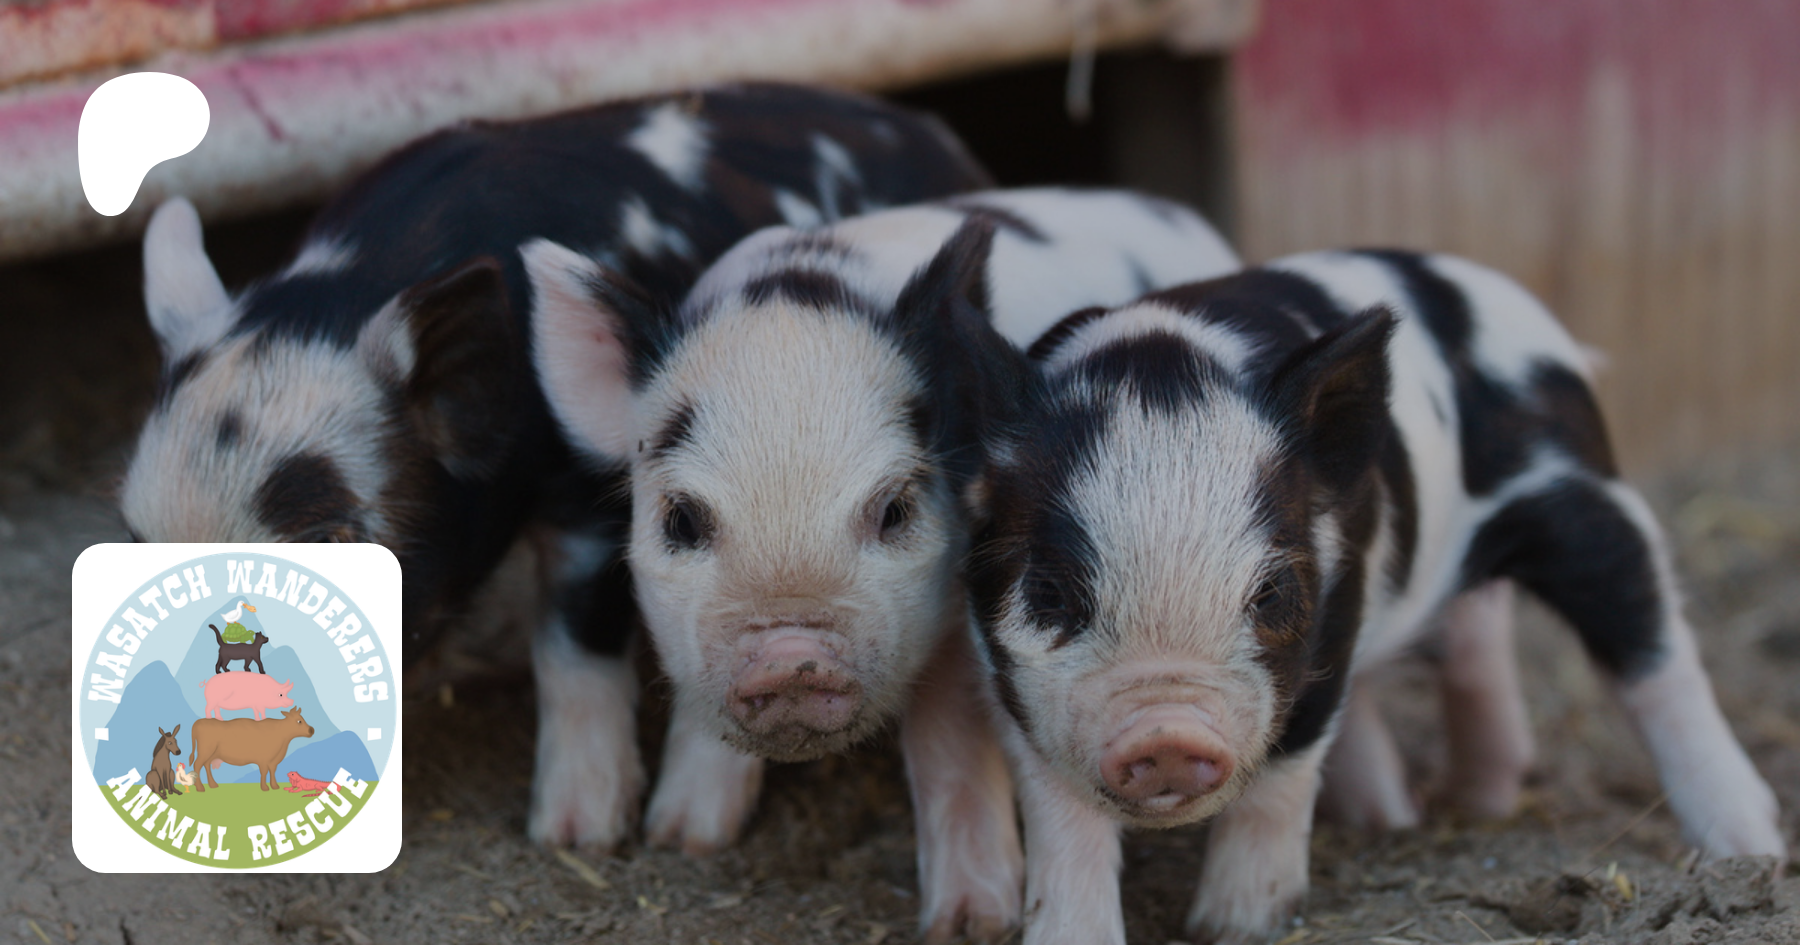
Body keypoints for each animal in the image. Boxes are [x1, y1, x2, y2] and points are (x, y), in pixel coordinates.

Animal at [115, 83, 992, 847]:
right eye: (134, 539)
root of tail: (936, 135)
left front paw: (581, 833)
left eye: (328, 538)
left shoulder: (588, 494)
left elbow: (575, 641)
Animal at [525, 187, 1240, 941]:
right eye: (682, 520)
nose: (791, 659)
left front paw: (969, 924)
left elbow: (948, 745)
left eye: (894, 509)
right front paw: (682, 837)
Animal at [963, 251, 1788, 945]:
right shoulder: (1009, 671)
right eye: (1050, 589)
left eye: (1271, 593)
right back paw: (1466, 803)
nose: (1167, 735)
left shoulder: (1336, 605)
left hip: (1587, 499)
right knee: (1476, 643)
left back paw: (1750, 849)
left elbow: (1286, 769)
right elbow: (1059, 812)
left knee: (1656, 651)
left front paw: (1237, 925)